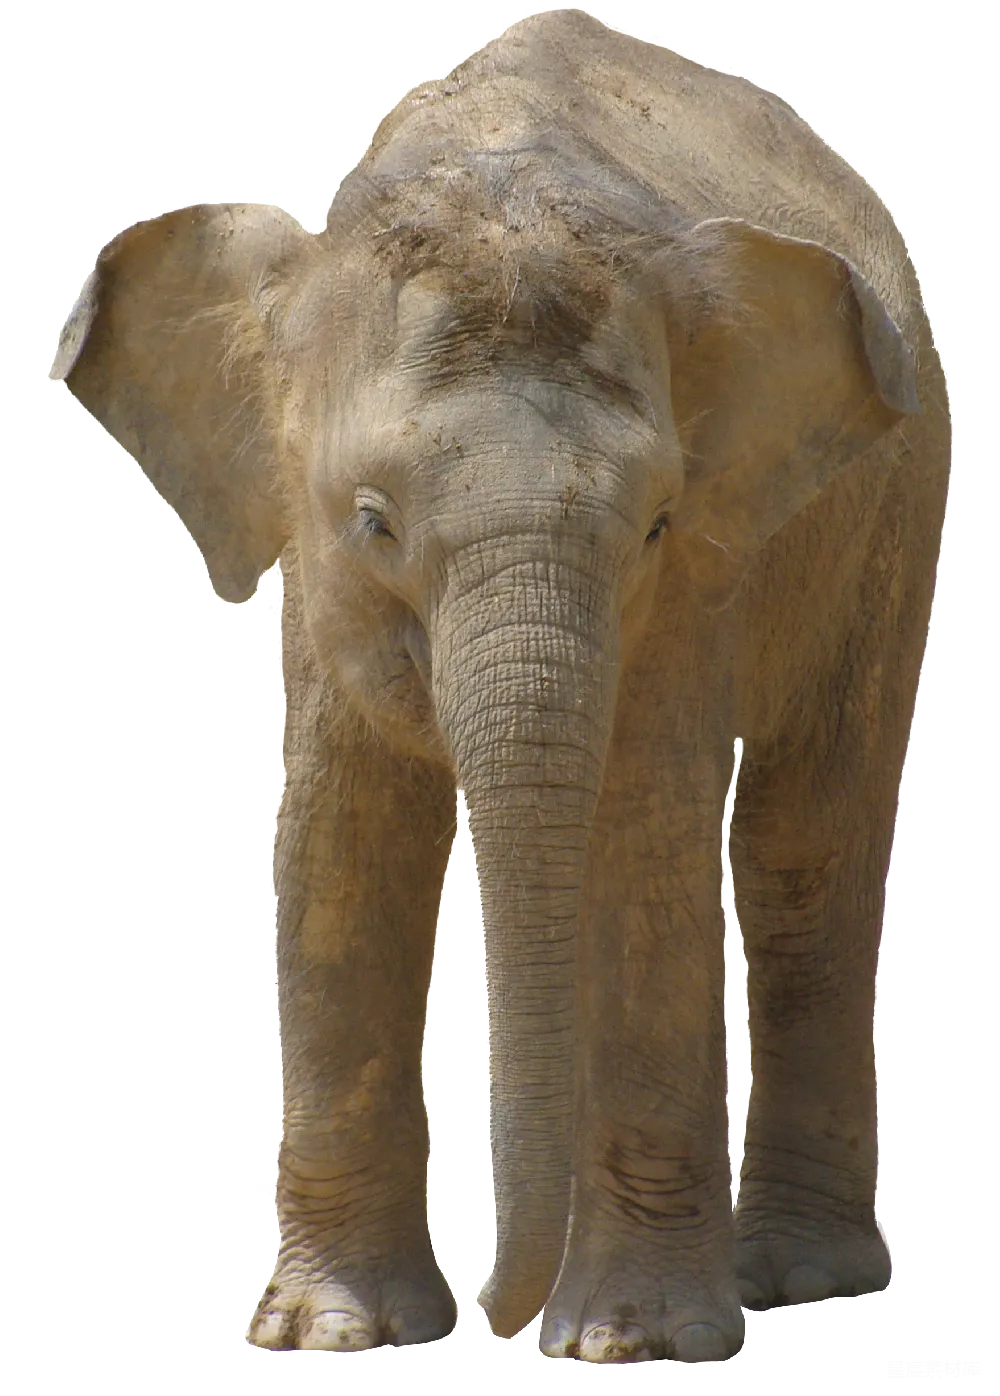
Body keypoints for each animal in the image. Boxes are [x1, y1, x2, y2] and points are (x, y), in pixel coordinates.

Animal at [49, 10, 949, 1365]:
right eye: (371, 518)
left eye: (655, 524)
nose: (496, 1311)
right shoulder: (318, 580)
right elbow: (336, 841)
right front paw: (334, 1333)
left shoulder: (697, 579)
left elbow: (646, 836)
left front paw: (630, 1342)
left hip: (898, 495)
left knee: (806, 843)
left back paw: (797, 1278)